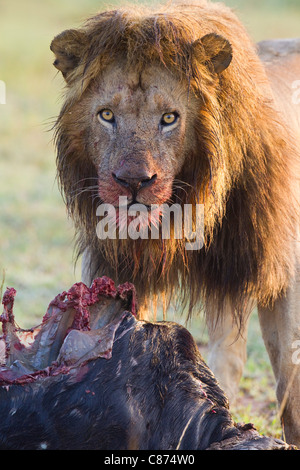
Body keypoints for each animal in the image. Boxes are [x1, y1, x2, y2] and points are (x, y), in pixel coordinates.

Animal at [51, 0, 300, 446]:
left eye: (169, 118)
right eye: (106, 115)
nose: (133, 182)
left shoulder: (276, 268)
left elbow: (288, 377)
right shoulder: (118, 270)